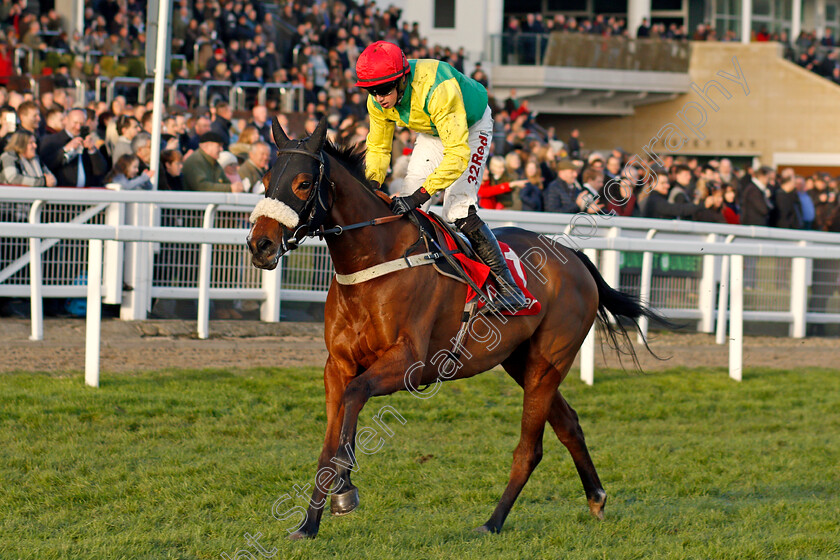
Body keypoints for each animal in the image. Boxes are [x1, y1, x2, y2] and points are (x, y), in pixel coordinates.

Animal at [246, 117, 668, 540]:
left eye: (303, 183)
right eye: (265, 178)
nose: (260, 245)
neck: (374, 261)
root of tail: (574, 257)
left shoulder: (409, 364)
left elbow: (355, 397)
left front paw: (345, 490)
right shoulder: (337, 366)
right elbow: (327, 442)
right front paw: (308, 525)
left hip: (549, 362)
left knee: (530, 448)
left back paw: (493, 522)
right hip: (520, 360)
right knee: (569, 425)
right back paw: (595, 497)